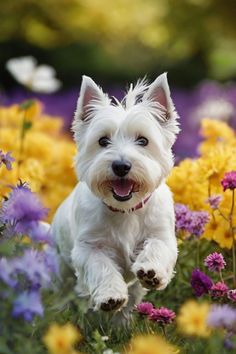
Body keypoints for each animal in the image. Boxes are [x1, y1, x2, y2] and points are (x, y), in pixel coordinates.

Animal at [51, 73, 180, 320]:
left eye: (143, 140)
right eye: (103, 141)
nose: (121, 166)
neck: (125, 210)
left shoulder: (162, 234)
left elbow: (158, 246)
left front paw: (151, 271)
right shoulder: (88, 247)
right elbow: (101, 267)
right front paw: (111, 296)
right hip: (60, 269)